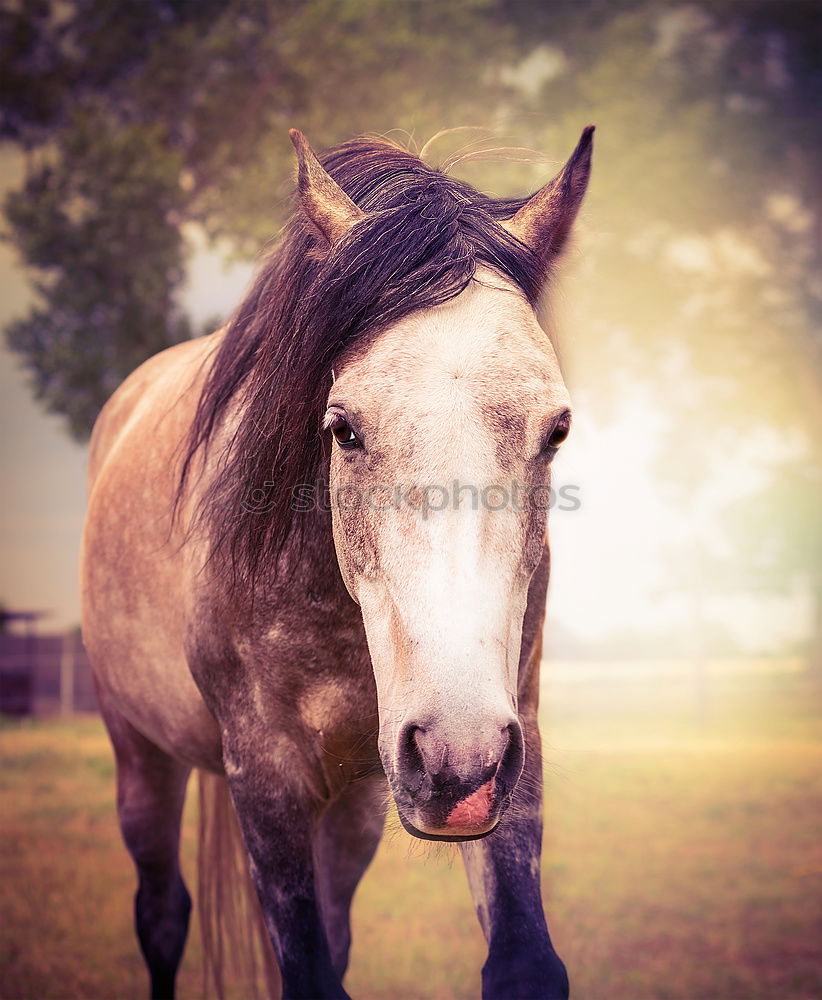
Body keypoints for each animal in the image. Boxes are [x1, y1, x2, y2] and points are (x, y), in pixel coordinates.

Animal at [80, 125, 596, 1000]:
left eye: (556, 429)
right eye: (343, 427)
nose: (456, 759)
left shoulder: (509, 740)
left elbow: (524, 963)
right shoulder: (264, 774)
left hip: (359, 802)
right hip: (142, 755)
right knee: (162, 914)